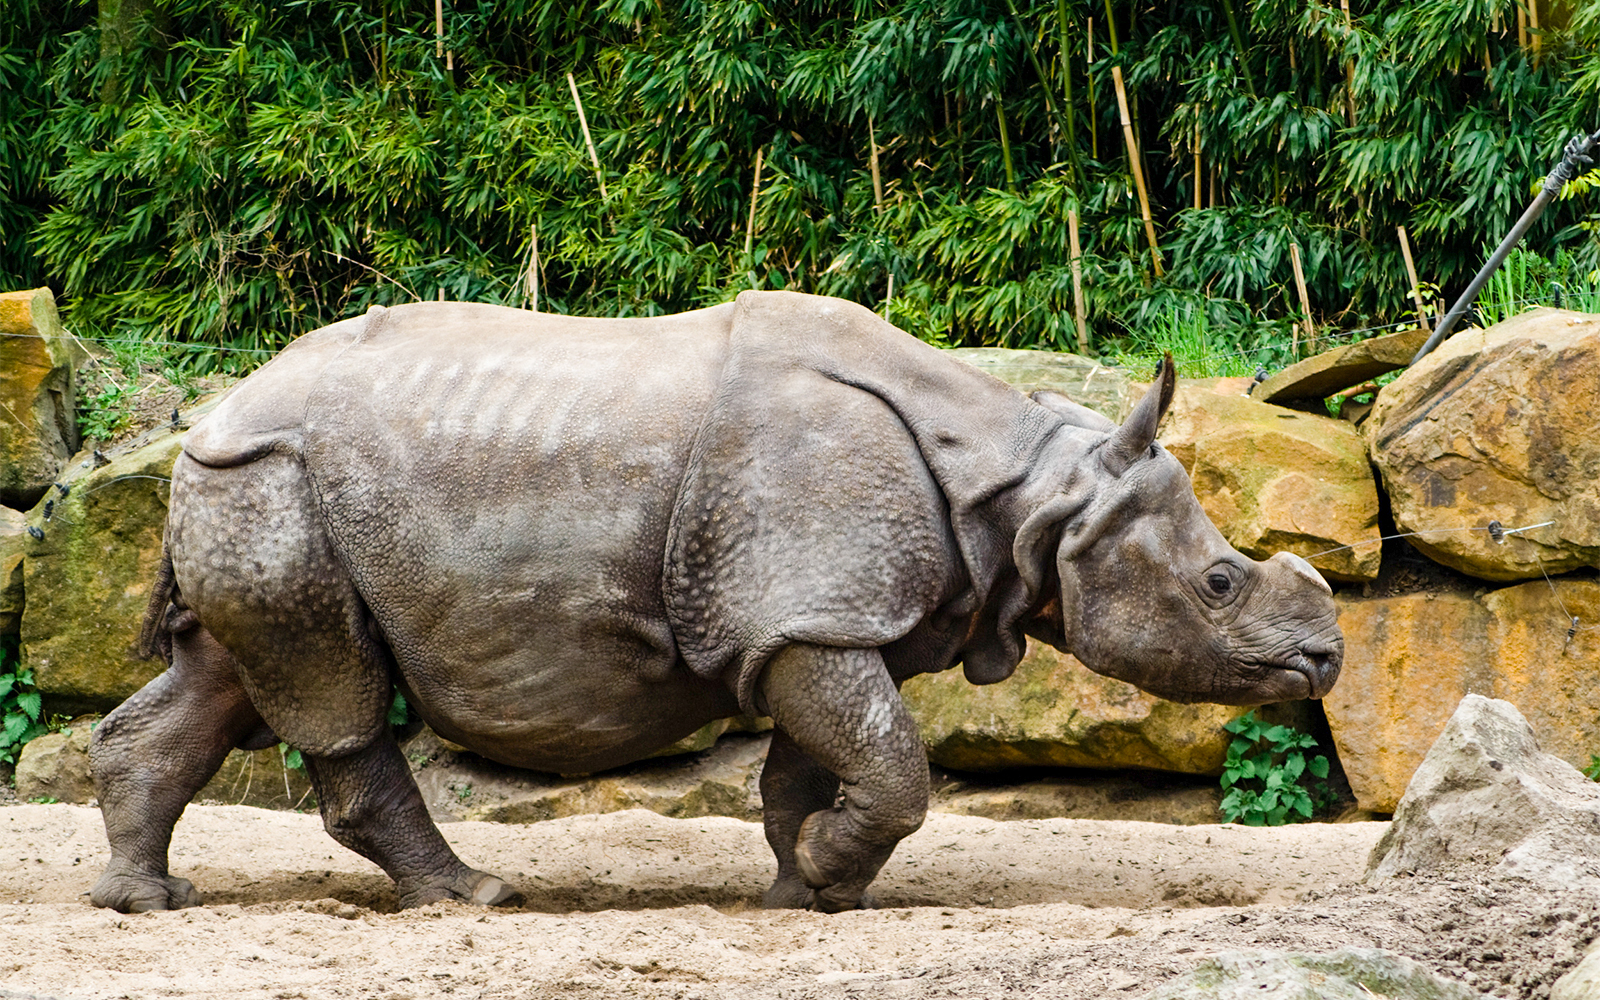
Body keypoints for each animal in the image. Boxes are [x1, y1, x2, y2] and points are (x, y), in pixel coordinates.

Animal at [89, 291, 1341, 914]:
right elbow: (893, 761)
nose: (1326, 659)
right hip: (273, 478)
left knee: (229, 676)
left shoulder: (797, 617)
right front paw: (831, 875)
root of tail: (207, 410)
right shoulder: (808, 610)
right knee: (332, 691)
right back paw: (476, 895)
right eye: (1219, 583)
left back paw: (148, 901)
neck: (1033, 490)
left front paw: (802, 887)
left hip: (253, 486)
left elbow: (816, 760)